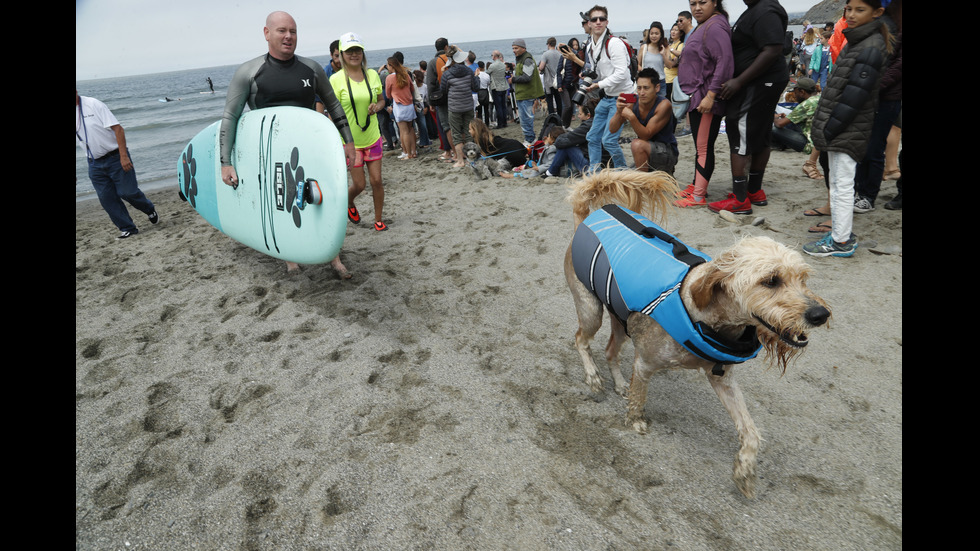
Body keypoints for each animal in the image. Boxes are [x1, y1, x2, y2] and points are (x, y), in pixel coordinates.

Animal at [564, 169, 832, 500]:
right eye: (771, 280)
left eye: (803, 278)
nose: (820, 315)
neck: (704, 318)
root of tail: (586, 219)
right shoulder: (645, 365)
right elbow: (640, 398)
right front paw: (635, 421)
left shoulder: (723, 378)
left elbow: (751, 432)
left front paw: (744, 471)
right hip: (591, 311)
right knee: (581, 340)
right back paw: (593, 377)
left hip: (620, 319)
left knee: (610, 351)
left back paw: (618, 383)